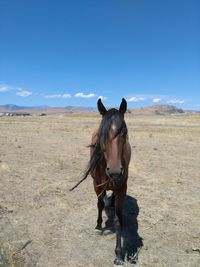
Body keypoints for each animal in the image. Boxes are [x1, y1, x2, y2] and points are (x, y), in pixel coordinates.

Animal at [70, 98, 131, 266]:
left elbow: (118, 221)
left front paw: (118, 255)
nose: (115, 172)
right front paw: (98, 225)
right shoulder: (97, 186)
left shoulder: (121, 188)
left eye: (125, 133)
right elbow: (99, 204)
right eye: (101, 134)